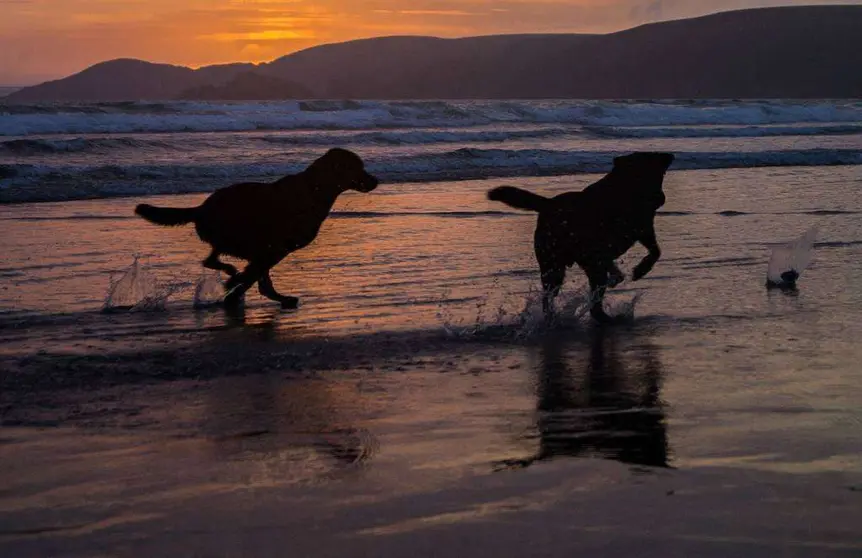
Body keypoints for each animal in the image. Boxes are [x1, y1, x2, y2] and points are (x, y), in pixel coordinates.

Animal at [135, 147, 378, 308]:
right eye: (359, 167)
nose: (375, 180)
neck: (316, 188)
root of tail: (201, 208)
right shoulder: (276, 247)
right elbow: (254, 273)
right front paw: (234, 287)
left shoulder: (274, 249)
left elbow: (256, 275)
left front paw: (237, 289)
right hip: (239, 237)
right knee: (218, 261)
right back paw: (235, 280)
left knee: (217, 260)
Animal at [490, 153, 672, 326]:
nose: (660, 198)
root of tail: (548, 204)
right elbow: (650, 252)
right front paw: (635, 271)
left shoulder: (644, 230)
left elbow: (654, 250)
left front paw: (636, 270)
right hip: (555, 266)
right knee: (564, 299)